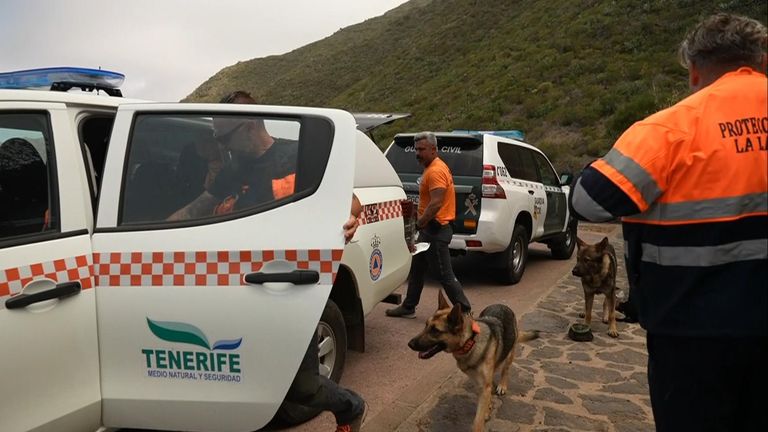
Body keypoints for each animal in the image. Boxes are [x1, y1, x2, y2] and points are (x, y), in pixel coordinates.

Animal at [408, 292, 540, 430]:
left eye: (435, 331)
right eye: (426, 325)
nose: (409, 344)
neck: (470, 342)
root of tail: (501, 305)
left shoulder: (484, 384)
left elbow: (478, 420)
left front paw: (484, 412)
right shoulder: (480, 383)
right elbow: (485, 397)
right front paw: (487, 408)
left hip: (509, 353)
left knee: (506, 369)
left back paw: (502, 385)